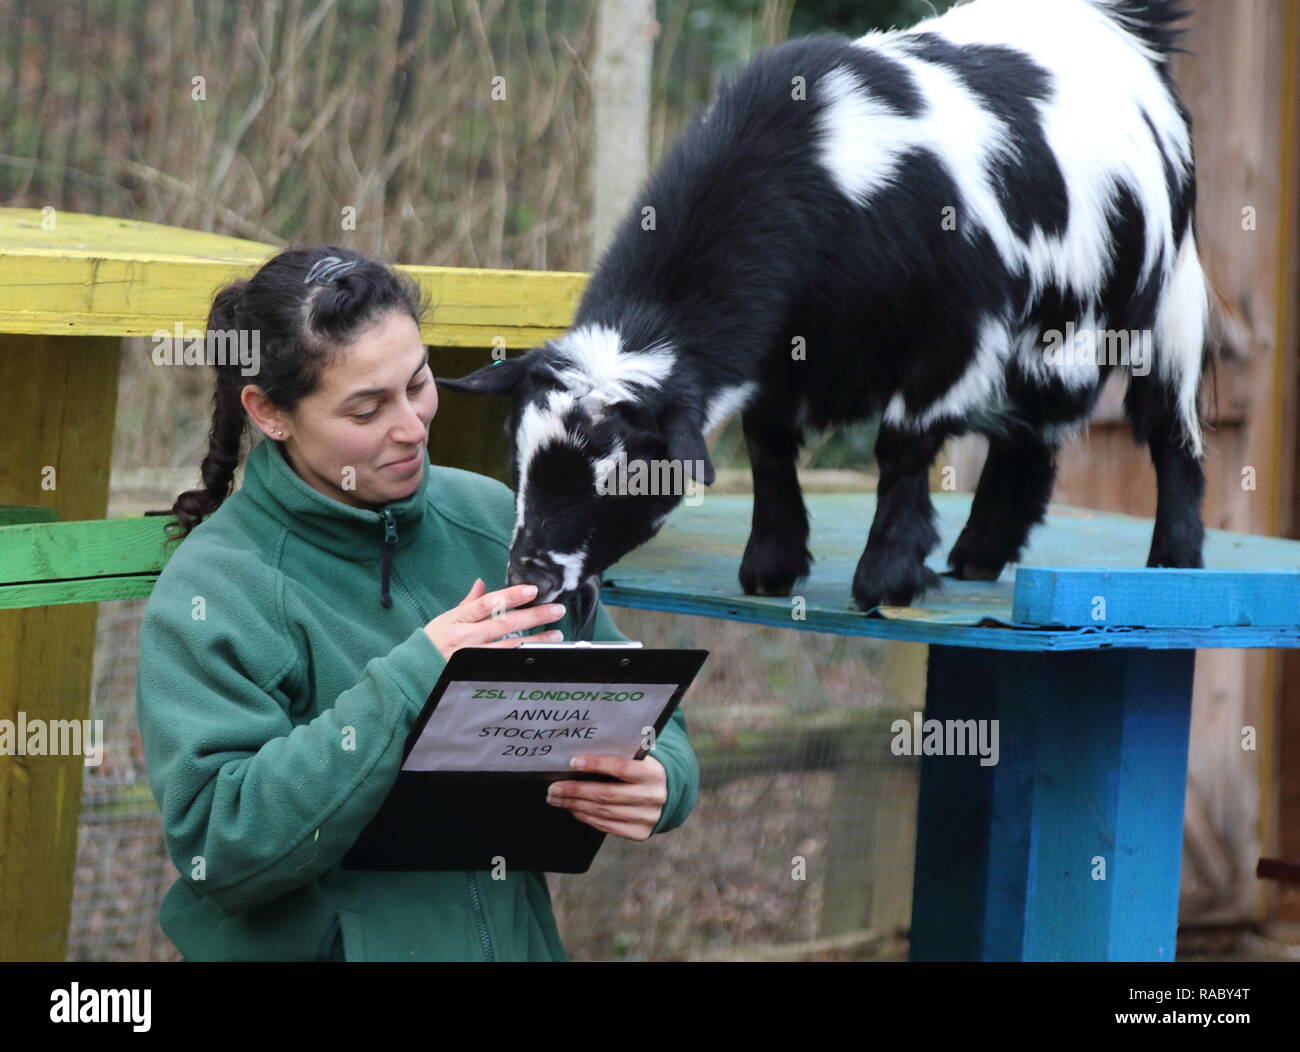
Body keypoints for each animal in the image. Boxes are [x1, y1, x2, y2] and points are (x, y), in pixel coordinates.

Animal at [436, 0, 1206, 631]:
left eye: (624, 476)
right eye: (518, 457)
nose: (530, 578)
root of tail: (1124, 26)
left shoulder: (955, 331)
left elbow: (903, 444)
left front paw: (886, 577)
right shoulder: (779, 355)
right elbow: (770, 444)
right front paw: (771, 565)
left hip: (1164, 303)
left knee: (1169, 428)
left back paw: (1175, 560)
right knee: (1035, 435)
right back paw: (980, 554)